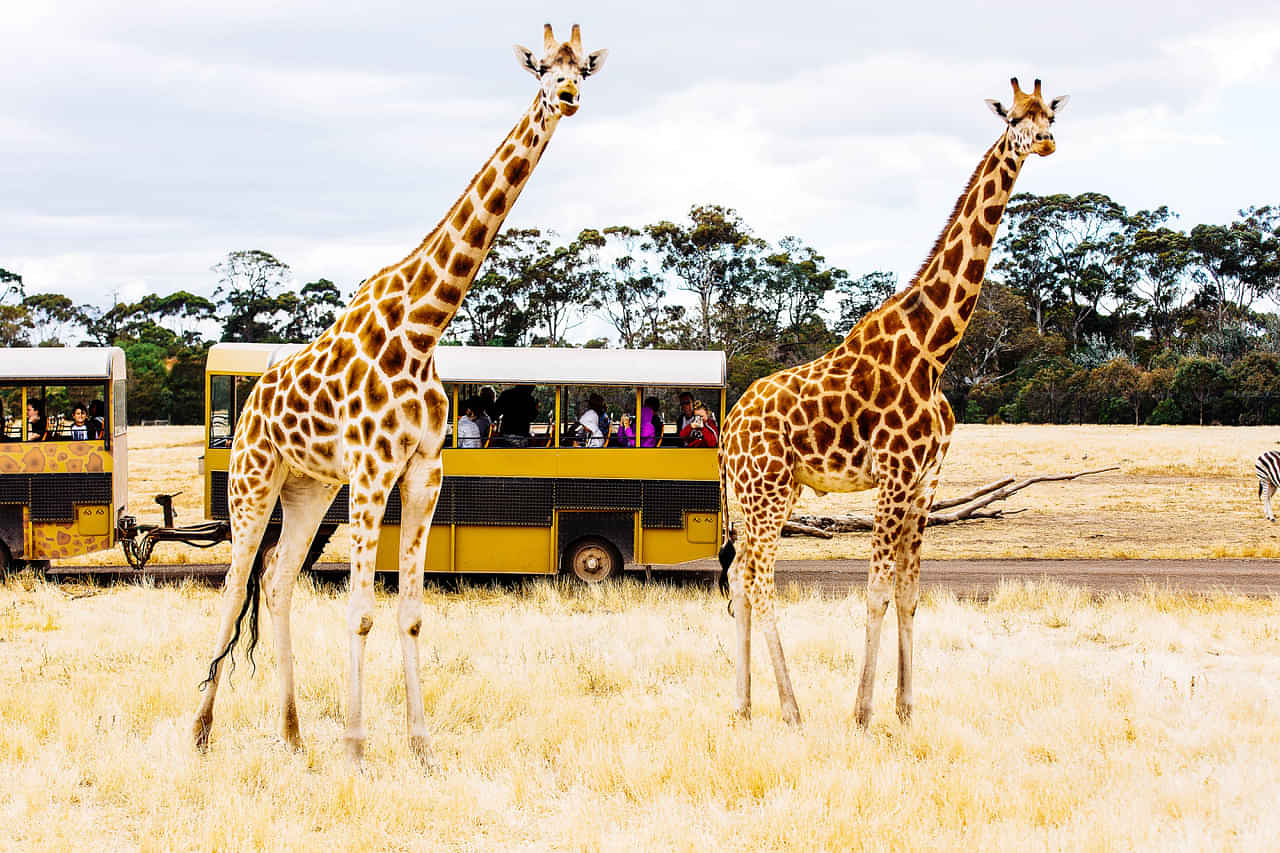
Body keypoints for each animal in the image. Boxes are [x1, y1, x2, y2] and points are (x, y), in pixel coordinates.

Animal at [190, 24, 609, 763]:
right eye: (540, 70)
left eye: (581, 69)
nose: (566, 96)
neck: (423, 324)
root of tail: (251, 402)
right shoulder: (371, 470)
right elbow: (360, 610)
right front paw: (357, 746)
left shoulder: (422, 472)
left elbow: (411, 612)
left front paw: (420, 743)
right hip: (253, 480)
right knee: (236, 581)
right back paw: (203, 729)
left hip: (308, 489)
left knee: (276, 581)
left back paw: (293, 732)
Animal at [716, 76, 1064, 722]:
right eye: (1014, 119)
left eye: (1049, 114)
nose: (1047, 141)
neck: (935, 349)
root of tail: (728, 430)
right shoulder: (895, 476)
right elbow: (876, 591)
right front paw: (862, 713)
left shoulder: (926, 482)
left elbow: (908, 592)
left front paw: (906, 709)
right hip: (766, 490)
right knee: (760, 581)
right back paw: (792, 708)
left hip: (766, 492)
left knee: (741, 578)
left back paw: (744, 705)